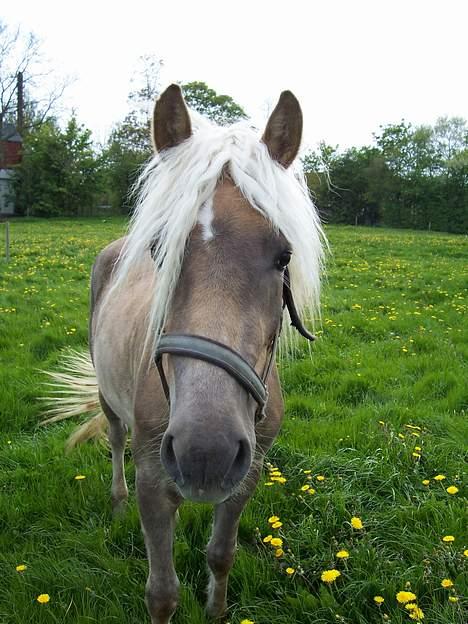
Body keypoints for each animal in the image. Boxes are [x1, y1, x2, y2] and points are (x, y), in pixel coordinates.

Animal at [44, 84, 326, 624]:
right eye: (159, 252)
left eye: (284, 256)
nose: (205, 453)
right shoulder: (154, 481)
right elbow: (162, 593)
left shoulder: (247, 473)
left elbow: (221, 554)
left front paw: (216, 610)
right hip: (111, 403)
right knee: (114, 439)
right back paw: (115, 504)